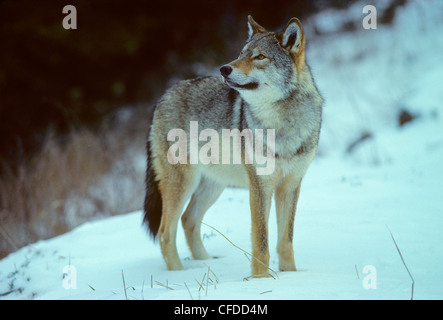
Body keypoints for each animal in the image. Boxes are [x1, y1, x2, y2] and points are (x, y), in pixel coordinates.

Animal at [144, 15, 324, 278]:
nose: (224, 69)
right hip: (184, 184)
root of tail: (162, 97)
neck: (282, 125)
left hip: (212, 186)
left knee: (188, 221)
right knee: (165, 233)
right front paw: (261, 280)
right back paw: (180, 276)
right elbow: (261, 243)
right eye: (241, 54)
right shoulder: (260, 186)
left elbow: (285, 242)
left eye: (260, 57)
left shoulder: (290, 185)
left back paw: (207, 264)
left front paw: (290, 276)